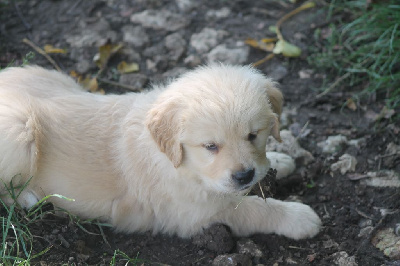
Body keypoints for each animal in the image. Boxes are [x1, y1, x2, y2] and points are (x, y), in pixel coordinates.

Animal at [0, 64, 320, 239]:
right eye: (211, 147)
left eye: (254, 135)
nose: (244, 176)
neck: (180, 164)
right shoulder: (194, 215)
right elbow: (252, 209)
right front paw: (298, 217)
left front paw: (279, 160)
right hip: (18, 131)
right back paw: (28, 198)